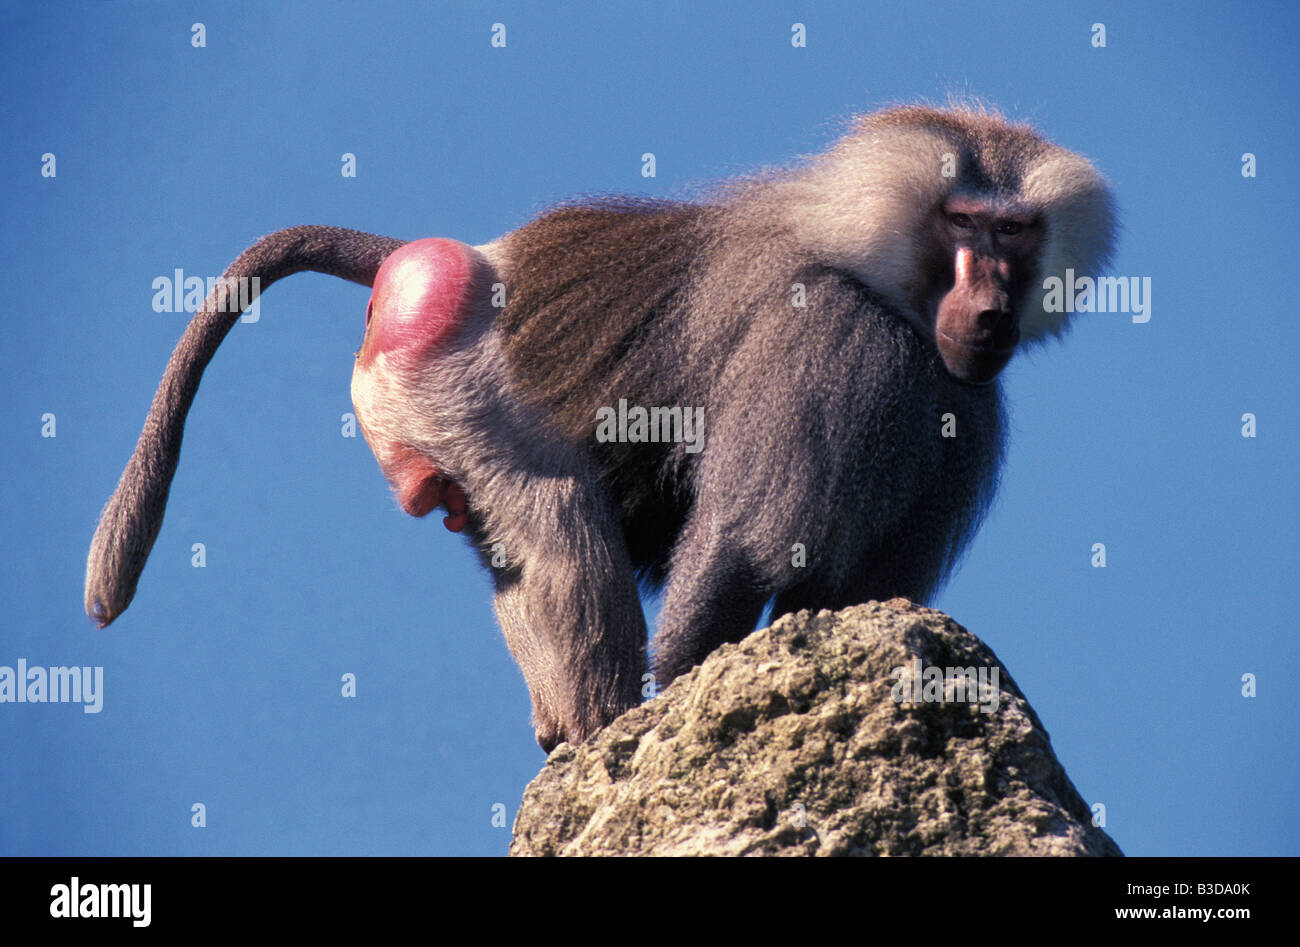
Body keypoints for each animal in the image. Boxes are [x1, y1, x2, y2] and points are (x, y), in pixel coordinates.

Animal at [85, 105, 1116, 752]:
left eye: (1016, 232)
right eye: (964, 224)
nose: (990, 310)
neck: (880, 277)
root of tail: (458, 255)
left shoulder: (964, 405)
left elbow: (853, 591)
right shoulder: (828, 338)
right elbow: (741, 544)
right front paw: (680, 695)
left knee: (506, 544)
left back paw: (560, 733)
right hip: (433, 385)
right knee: (551, 523)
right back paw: (602, 730)